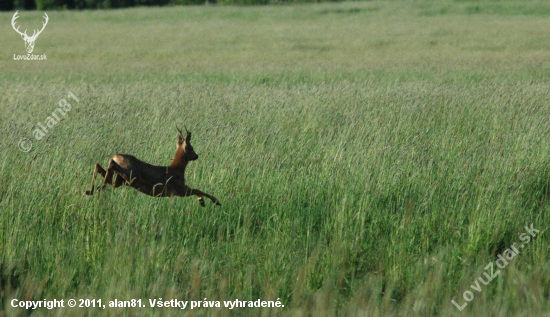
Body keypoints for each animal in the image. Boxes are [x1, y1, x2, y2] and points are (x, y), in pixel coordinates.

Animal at [85, 127, 221, 206]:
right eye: (191, 148)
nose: (196, 156)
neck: (178, 169)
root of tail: (115, 156)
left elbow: (197, 190)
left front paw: (203, 201)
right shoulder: (180, 189)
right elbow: (197, 189)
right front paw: (212, 201)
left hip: (119, 181)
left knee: (99, 166)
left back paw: (91, 190)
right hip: (130, 175)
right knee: (111, 167)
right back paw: (98, 187)